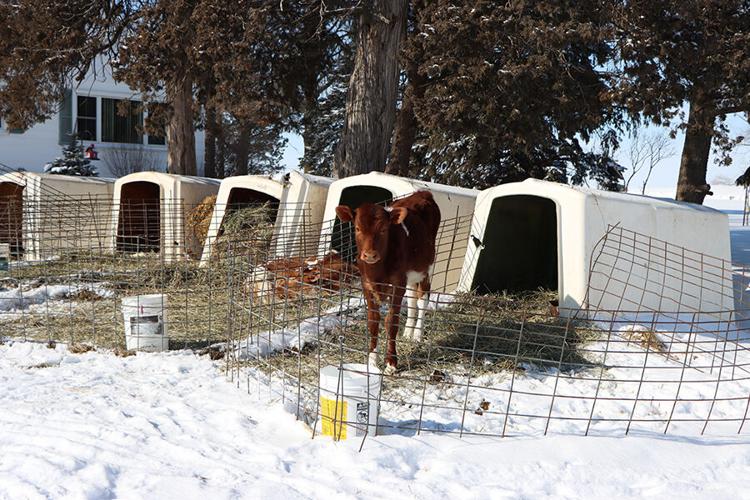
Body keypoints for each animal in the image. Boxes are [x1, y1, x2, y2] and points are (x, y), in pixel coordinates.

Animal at [335, 191, 440, 375]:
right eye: (357, 228)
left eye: (384, 230)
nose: (370, 255)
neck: (377, 272)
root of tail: (422, 192)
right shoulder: (366, 285)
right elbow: (373, 321)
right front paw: (372, 361)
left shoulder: (397, 284)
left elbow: (391, 322)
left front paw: (391, 363)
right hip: (410, 276)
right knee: (412, 298)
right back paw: (408, 332)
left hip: (427, 268)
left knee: (422, 298)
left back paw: (417, 335)